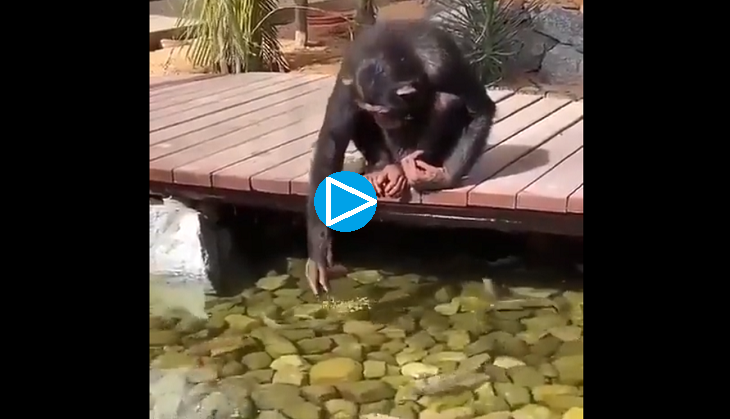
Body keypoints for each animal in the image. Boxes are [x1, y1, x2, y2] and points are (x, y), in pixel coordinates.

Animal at [305, 20, 497, 296]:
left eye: (384, 110)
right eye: (374, 110)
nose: (380, 116)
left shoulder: (446, 64)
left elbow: (479, 108)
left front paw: (444, 177)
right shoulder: (350, 77)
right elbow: (332, 140)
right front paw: (319, 255)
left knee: (447, 100)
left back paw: (409, 169)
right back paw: (383, 168)